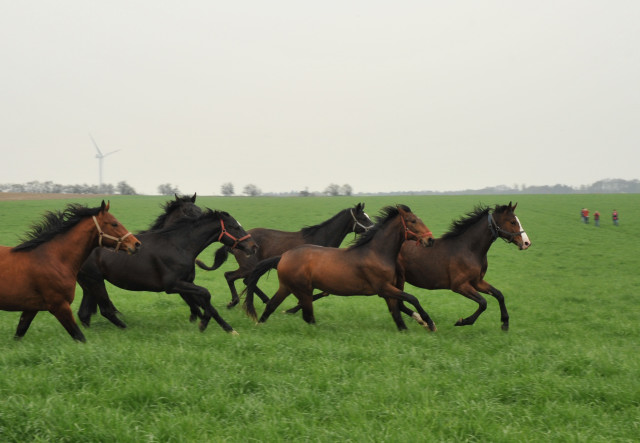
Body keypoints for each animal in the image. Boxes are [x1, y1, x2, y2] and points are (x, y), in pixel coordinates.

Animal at [0, 202, 140, 344]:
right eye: (114, 223)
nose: (136, 244)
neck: (54, 259)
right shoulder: (59, 305)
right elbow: (79, 336)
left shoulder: (31, 308)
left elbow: (20, 331)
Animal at [196, 204, 376, 308]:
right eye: (362, 217)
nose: (374, 228)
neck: (320, 239)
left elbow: (324, 292)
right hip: (248, 266)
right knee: (231, 276)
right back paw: (234, 302)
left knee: (247, 280)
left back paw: (265, 300)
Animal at [242, 206, 438, 332]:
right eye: (413, 221)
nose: (430, 240)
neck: (377, 252)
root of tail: (283, 256)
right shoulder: (383, 288)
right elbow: (412, 298)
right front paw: (429, 323)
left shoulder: (389, 292)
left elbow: (398, 316)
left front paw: (413, 326)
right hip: (302, 290)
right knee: (307, 315)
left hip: (287, 287)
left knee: (272, 306)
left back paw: (260, 325)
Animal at [286, 203, 528, 332]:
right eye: (512, 222)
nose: (526, 242)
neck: (468, 247)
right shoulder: (460, 285)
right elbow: (484, 302)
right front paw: (462, 321)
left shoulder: (477, 281)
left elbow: (499, 294)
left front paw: (505, 324)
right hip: (400, 279)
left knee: (399, 303)